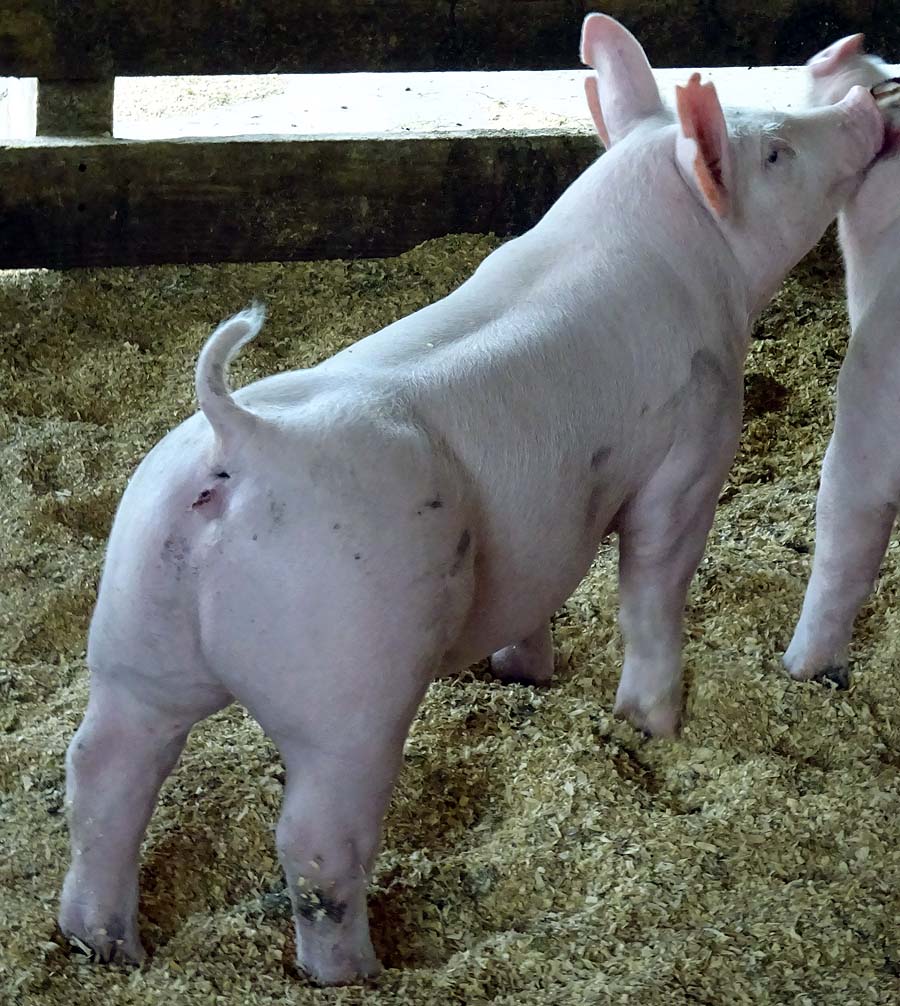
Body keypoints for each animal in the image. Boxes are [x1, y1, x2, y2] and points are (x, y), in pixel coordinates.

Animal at [58, 13, 885, 987]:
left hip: (131, 632)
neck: (662, 248)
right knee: (313, 841)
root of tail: (241, 441)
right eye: (776, 149)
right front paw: (653, 725)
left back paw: (105, 945)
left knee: (101, 771)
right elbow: (654, 585)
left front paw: (526, 673)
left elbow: (542, 590)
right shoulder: (690, 450)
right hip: (350, 680)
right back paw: (356, 973)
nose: (867, 104)